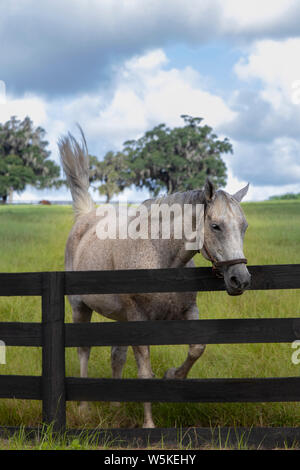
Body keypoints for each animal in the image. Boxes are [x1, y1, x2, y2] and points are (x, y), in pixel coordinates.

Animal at [58, 130, 251, 428]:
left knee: (116, 356)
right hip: (80, 308)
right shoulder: (139, 319)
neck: (160, 258)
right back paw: (84, 408)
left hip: (120, 319)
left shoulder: (188, 310)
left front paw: (173, 375)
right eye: (215, 226)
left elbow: (197, 348)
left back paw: (116, 405)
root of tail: (85, 216)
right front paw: (149, 425)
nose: (239, 279)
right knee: (84, 350)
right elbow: (145, 373)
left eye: (244, 227)